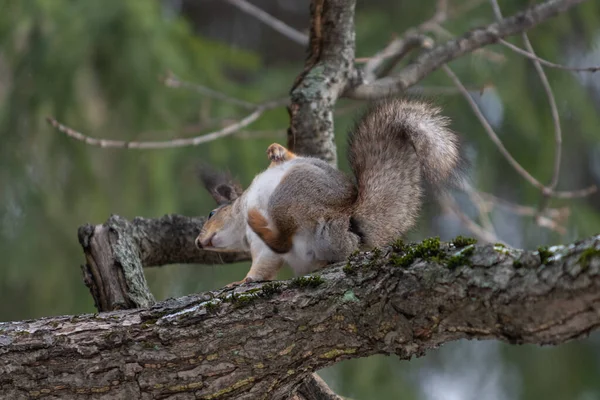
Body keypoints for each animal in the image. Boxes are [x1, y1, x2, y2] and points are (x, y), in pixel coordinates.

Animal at [196, 97, 464, 286]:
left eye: (211, 214)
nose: (198, 242)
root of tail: (347, 222)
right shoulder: (262, 251)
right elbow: (266, 266)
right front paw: (246, 279)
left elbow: (288, 156)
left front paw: (275, 149)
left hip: (289, 196)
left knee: (283, 237)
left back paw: (257, 218)